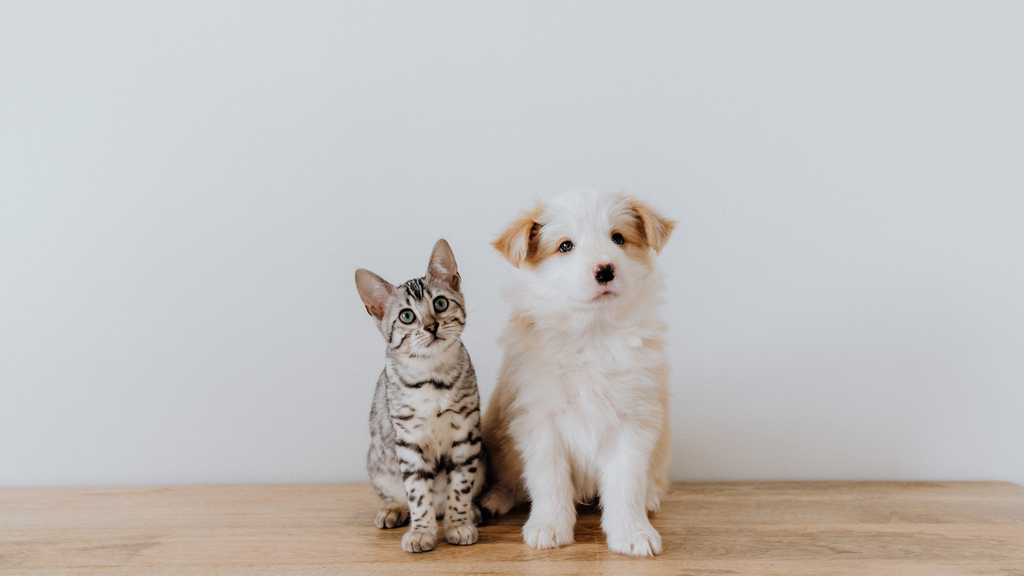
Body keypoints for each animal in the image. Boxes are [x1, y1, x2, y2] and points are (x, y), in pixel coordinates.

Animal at [354, 237, 485, 553]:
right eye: (407, 316)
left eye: (440, 303)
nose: (431, 325)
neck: (432, 378)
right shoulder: (409, 442)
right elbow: (417, 493)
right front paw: (422, 531)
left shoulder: (466, 436)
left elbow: (459, 487)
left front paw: (458, 523)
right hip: (378, 463)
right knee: (398, 496)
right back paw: (393, 511)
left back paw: (470, 512)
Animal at [481, 190, 675, 553]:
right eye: (565, 246)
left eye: (618, 238)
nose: (605, 270)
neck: (591, 334)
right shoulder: (539, 420)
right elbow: (549, 479)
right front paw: (549, 527)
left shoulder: (634, 420)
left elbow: (626, 482)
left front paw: (632, 533)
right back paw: (496, 498)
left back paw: (650, 498)